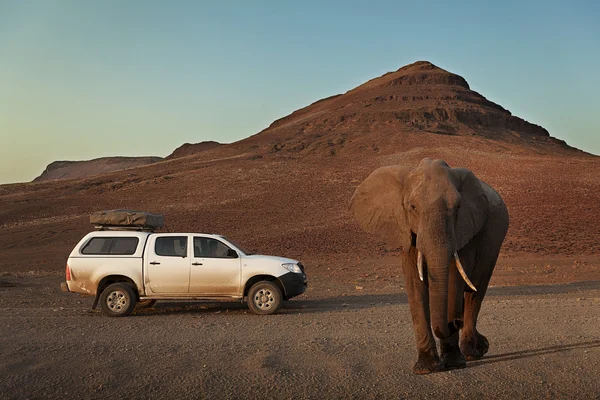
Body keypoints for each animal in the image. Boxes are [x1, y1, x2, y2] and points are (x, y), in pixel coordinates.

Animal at [350, 158, 508, 374]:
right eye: (412, 207)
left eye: (458, 207)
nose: (455, 322)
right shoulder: (407, 232)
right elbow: (415, 287)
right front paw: (426, 368)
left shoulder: (465, 231)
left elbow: (453, 283)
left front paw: (453, 364)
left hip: (494, 244)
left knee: (475, 294)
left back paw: (472, 352)